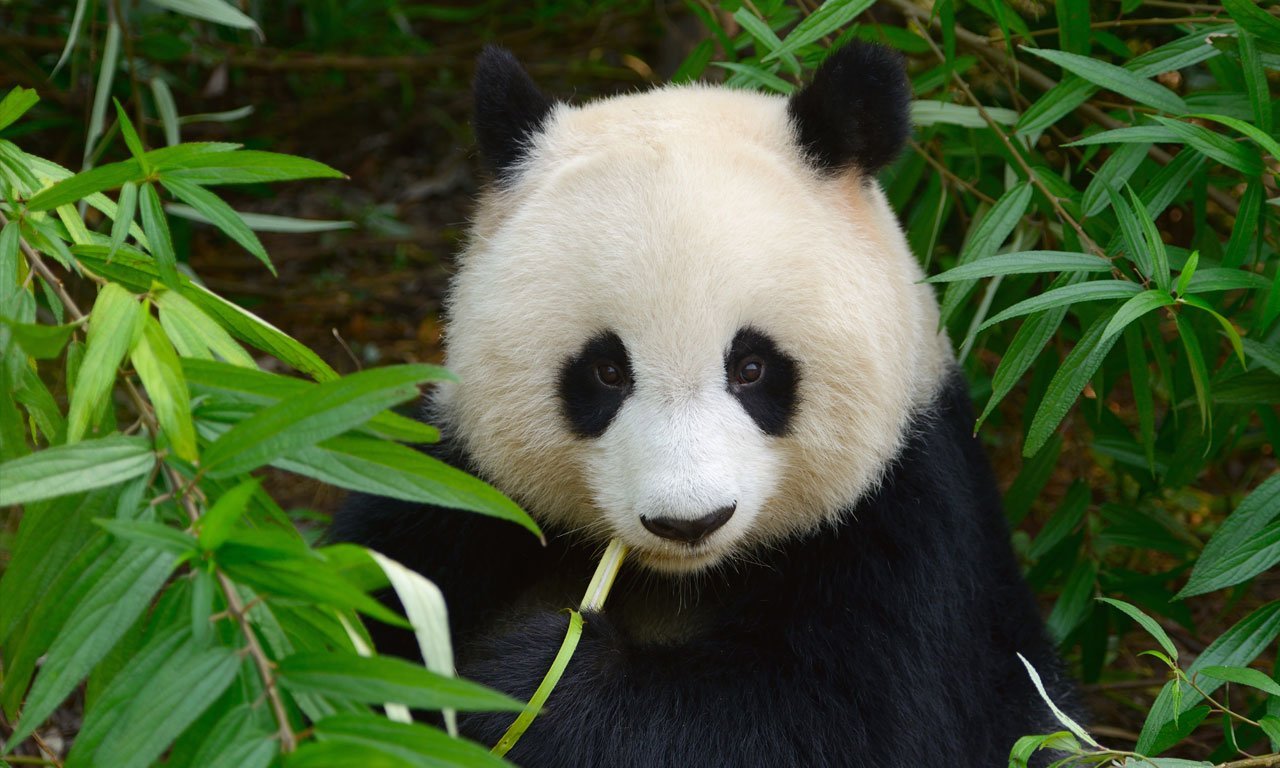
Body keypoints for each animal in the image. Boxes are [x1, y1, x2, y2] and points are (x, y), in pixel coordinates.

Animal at [332, 41, 1080, 768]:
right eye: (606, 371)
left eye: (751, 368)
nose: (688, 521)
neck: (681, 579)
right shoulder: (457, 492)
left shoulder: (909, 526)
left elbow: (830, 723)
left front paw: (533, 680)